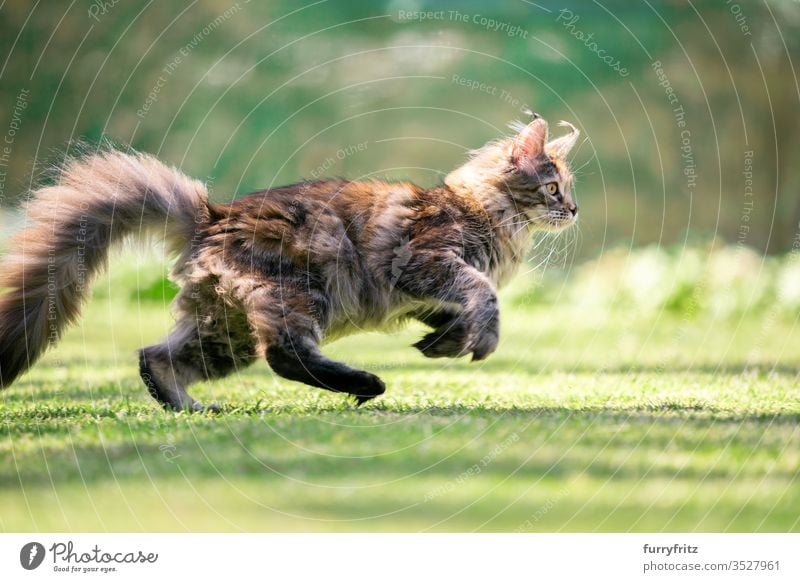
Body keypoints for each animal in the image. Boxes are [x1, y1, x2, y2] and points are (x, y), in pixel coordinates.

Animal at [0, 114, 580, 412]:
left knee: (156, 356)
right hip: (299, 293)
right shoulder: (428, 260)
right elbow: (485, 295)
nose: (573, 209)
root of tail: (212, 215)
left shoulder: (426, 295)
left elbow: (458, 312)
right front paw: (477, 340)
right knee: (284, 354)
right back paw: (365, 385)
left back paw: (191, 408)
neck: (483, 211)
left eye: (568, 190)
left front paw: (444, 343)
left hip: (223, 328)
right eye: (553, 187)